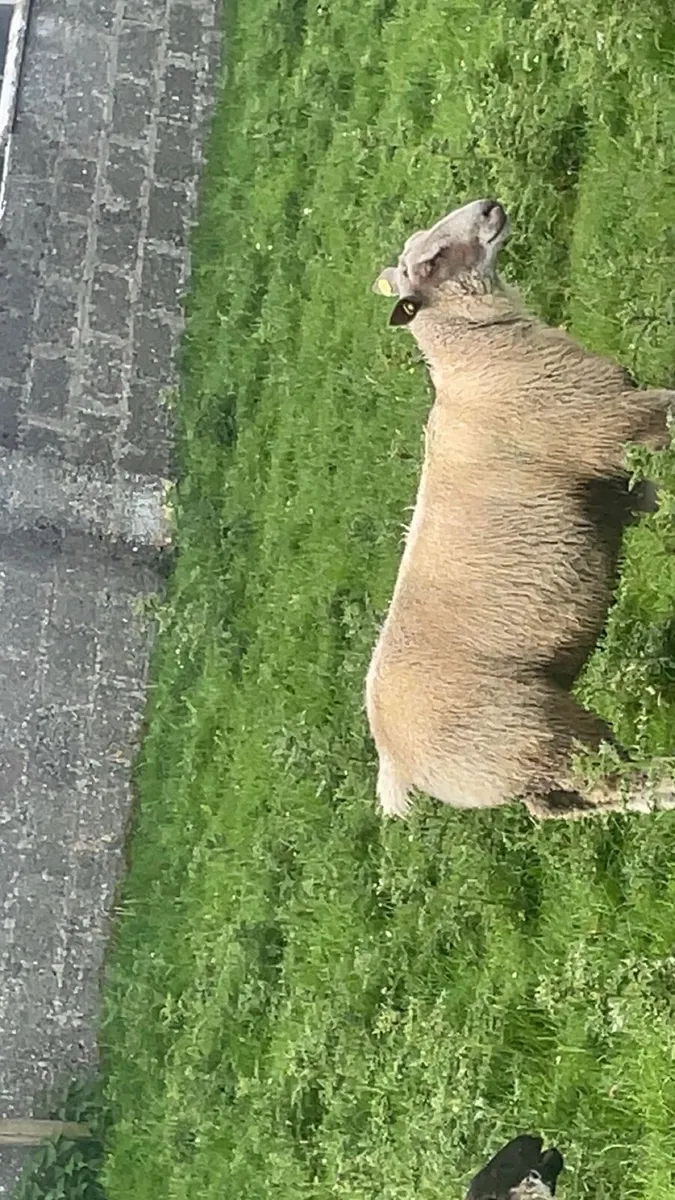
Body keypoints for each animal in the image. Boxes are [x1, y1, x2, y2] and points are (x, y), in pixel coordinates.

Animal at [365, 197, 675, 821]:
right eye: (431, 260)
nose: (489, 207)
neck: (481, 361)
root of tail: (396, 763)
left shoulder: (614, 484)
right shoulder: (613, 426)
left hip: (527, 755)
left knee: (571, 802)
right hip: (528, 735)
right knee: (606, 779)